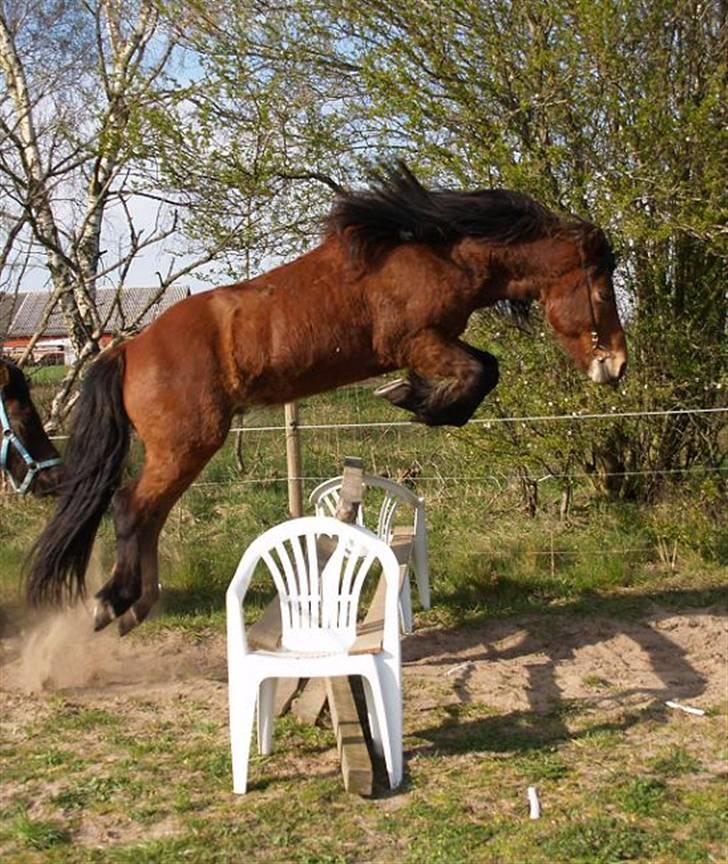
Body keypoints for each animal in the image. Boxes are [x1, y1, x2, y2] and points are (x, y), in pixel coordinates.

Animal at [27, 164, 624, 636]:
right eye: (600, 287)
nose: (615, 365)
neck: (440, 254)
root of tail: (129, 348)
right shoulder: (419, 342)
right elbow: (479, 375)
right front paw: (413, 397)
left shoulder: (438, 344)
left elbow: (486, 372)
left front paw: (419, 398)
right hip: (186, 446)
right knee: (133, 507)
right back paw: (112, 604)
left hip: (181, 451)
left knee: (148, 513)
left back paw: (135, 605)